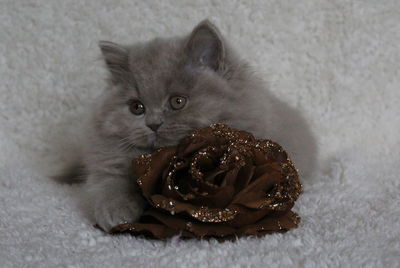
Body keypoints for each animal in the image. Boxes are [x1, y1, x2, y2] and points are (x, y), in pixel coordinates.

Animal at [57, 20, 318, 230]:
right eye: (137, 108)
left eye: (178, 102)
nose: (153, 124)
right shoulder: (107, 163)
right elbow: (110, 185)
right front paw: (115, 212)